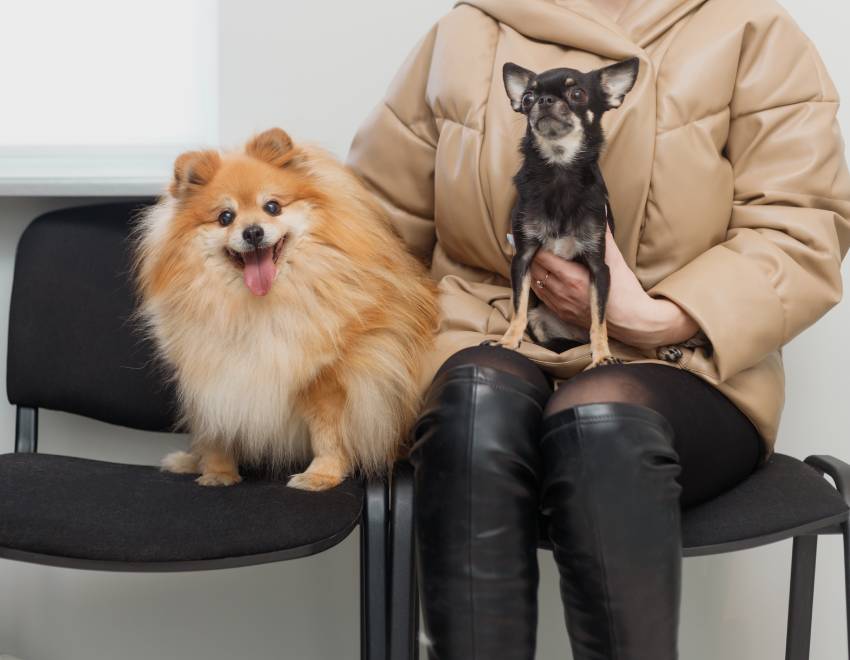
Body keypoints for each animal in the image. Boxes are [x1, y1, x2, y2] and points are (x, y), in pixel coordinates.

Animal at [134, 129, 438, 490]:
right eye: (225, 217)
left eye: (272, 207)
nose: (253, 231)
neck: (258, 308)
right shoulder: (213, 372)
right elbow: (216, 430)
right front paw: (218, 472)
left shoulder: (326, 379)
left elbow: (327, 434)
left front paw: (321, 475)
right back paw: (189, 461)